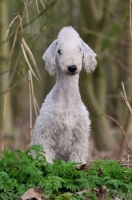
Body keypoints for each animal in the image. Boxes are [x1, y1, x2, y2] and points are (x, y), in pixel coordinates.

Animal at [31, 26, 97, 163]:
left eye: (79, 49)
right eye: (59, 51)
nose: (72, 67)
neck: (67, 98)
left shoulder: (79, 135)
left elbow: (77, 156)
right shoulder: (46, 132)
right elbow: (44, 154)